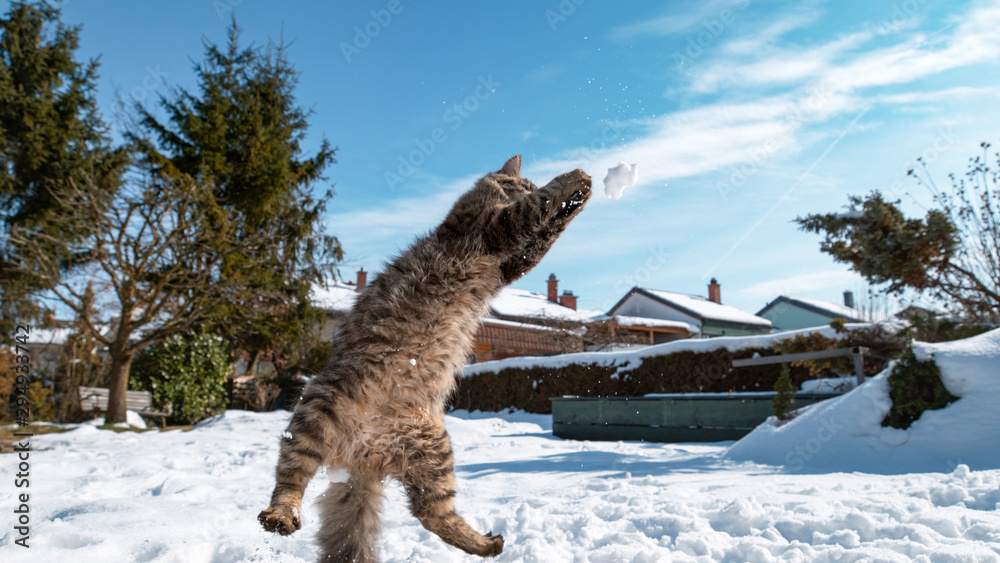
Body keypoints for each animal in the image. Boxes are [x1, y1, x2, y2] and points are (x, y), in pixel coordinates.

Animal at [254, 155, 592, 563]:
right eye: (521, 184)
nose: (525, 188)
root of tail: (364, 455)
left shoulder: (512, 261)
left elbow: (547, 232)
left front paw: (579, 197)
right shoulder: (495, 231)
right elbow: (538, 208)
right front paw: (573, 179)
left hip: (434, 456)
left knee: (432, 514)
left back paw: (486, 544)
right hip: (319, 408)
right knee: (291, 475)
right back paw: (280, 515)